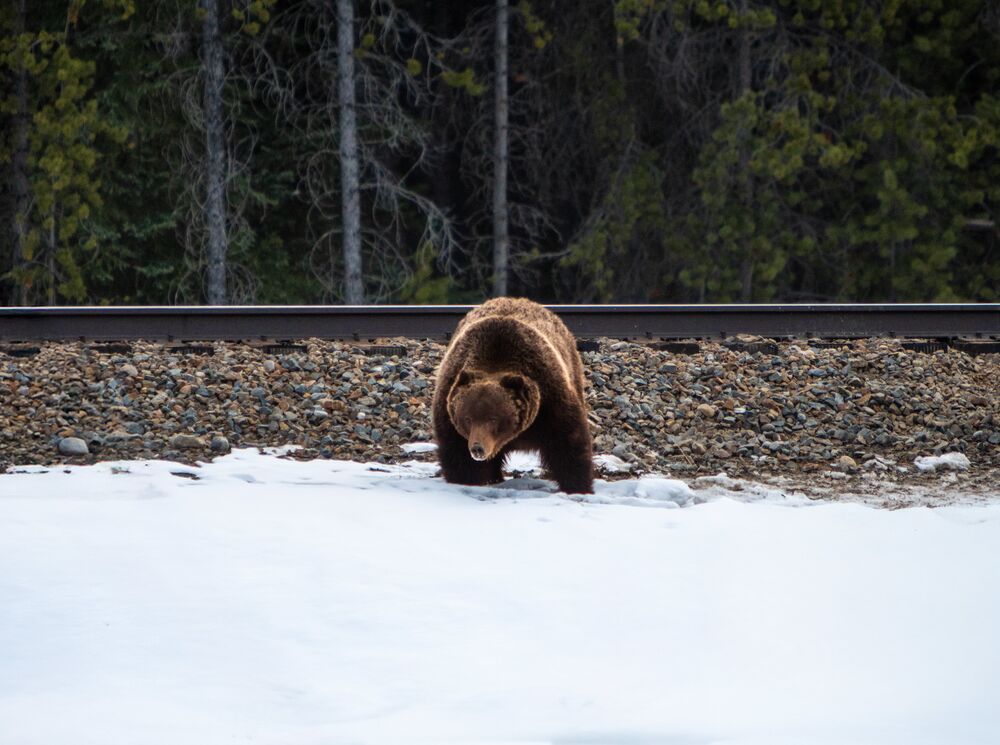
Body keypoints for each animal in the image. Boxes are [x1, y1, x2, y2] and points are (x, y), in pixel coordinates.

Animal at [432, 297, 594, 494]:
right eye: (468, 418)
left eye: (493, 418)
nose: (477, 448)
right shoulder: (449, 407)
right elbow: (458, 456)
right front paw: (466, 481)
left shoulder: (550, 400)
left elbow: (568, 442)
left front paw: (578, 486)